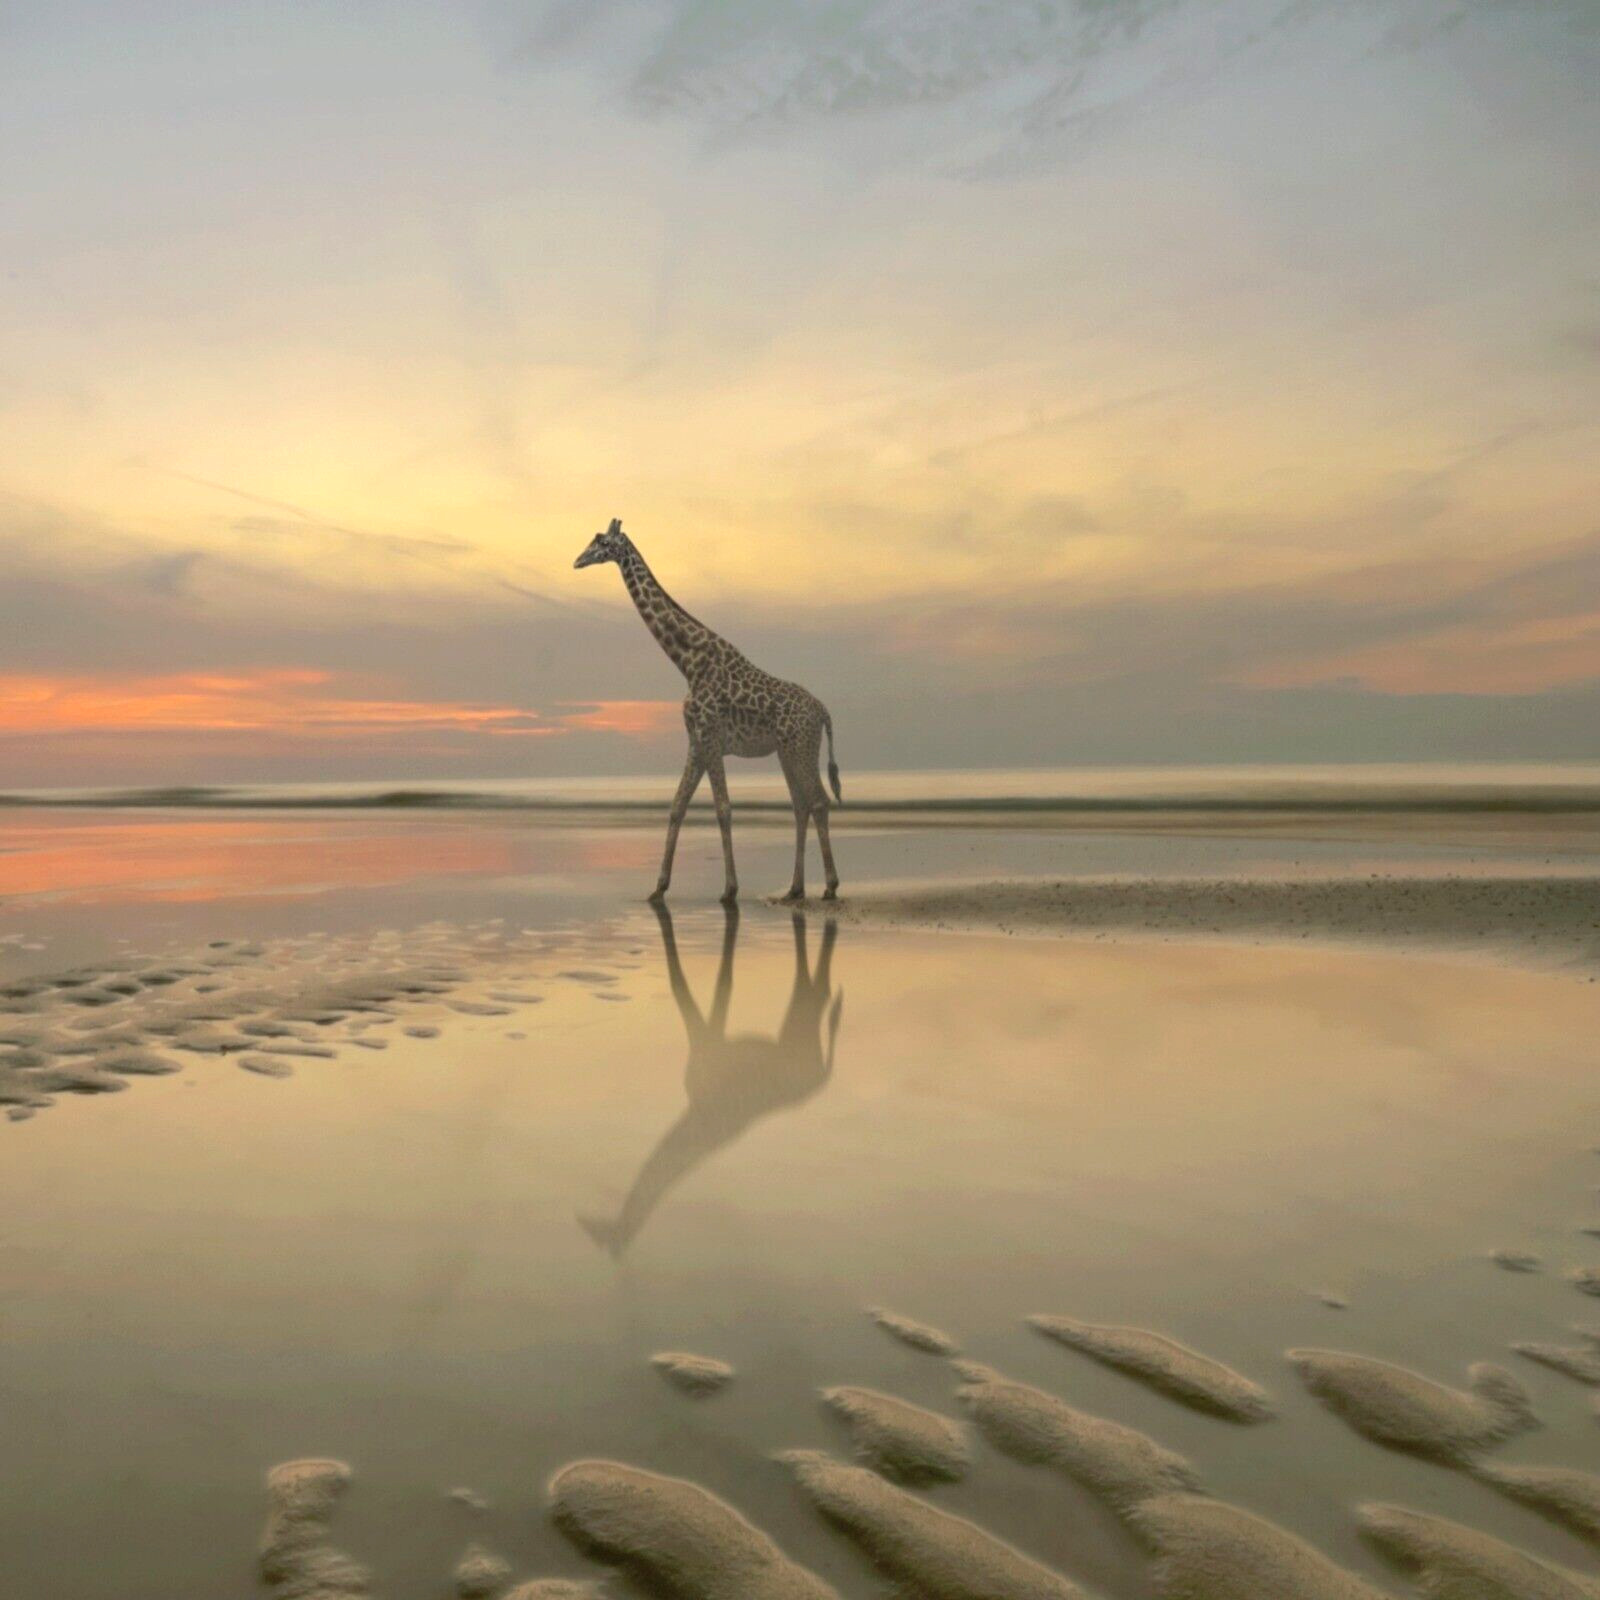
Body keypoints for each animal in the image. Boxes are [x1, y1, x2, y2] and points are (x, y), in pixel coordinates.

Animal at [574, 518, 841, 903]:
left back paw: (831, 886)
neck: (687, 662)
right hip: (787, 751)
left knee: (819, 801)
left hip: (801, 747)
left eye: (602, 542)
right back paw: (794, 888)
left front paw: (729, 889)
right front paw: (658, 887)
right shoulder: (697, 743)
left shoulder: (711, 737)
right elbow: (676, 807)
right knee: (801, 805)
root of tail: (823, 711)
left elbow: (723, 809)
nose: (577, 560)